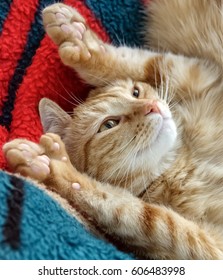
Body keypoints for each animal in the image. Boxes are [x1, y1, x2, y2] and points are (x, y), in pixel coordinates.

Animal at [3, 0, 223, 260]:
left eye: (136, 93)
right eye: (109, 125)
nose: (153, 107)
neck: (179, 163)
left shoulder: (203, 73)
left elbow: (152, 64)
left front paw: (83, 42)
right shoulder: (208, 245)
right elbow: (132, 211)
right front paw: (51, 165)